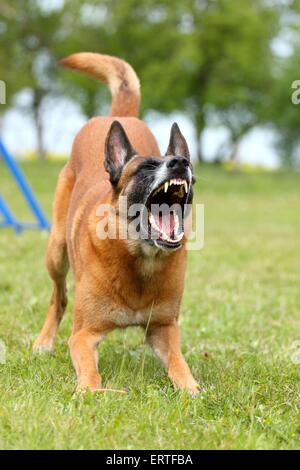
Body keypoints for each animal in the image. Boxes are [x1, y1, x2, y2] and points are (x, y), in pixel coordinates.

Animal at [33, 53, 199, 394]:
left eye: (187, 162)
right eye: (147, 167)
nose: (181, 162)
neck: (140, 259)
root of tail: (119, 117)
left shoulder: (163, 328)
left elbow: (180, 365)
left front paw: (191, 389)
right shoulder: (83, 336)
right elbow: (89, 373)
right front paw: (92, 391)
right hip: (55, 252)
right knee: (59, 296)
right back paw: (43, 341)